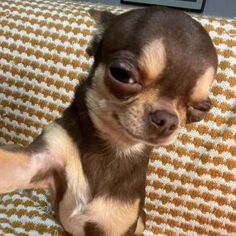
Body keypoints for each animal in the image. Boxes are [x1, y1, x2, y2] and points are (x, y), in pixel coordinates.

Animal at [0, 5, 218, 236]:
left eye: (201, 108)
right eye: (121, 74)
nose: (167, 120)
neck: (112, 148)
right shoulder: (43, 157)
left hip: (140, 221)